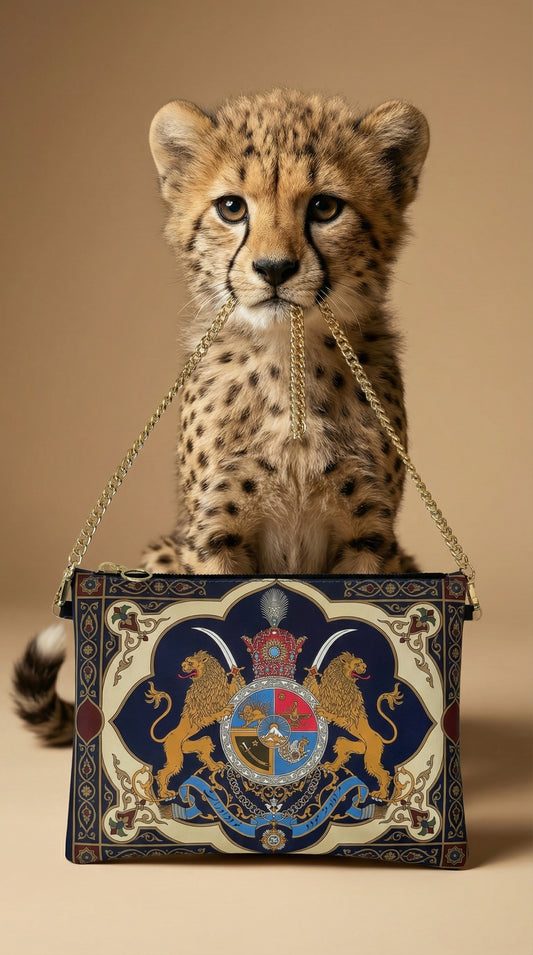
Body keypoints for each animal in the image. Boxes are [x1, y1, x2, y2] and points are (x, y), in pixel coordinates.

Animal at [145, 650, 245, 799]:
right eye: (186, 661)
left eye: (190, 662)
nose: (182, 665)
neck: (207, 682)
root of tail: (168, 736)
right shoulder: (199, 716)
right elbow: (211, 715)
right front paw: (224, 712)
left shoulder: (223, 696)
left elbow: (232, 691)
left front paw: (238, 677)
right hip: (176, 755)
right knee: (163, 772)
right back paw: (165, 793)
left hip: (192, 745)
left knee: (204, 750)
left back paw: (215, 766)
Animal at [303, 651, 403, 800]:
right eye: (357, 664)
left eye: (361, 663)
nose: (365, 666)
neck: (341, 682)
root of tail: (378, 736)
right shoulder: (324, 697)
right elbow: (316, 691)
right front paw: (311, 675)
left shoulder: (349, 717)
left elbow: (336, 716)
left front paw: (324, 713)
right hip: (355, 746)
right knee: (342, 749)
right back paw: (332, 766)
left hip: (371, 756)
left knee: (384, 773)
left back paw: (381, 794)